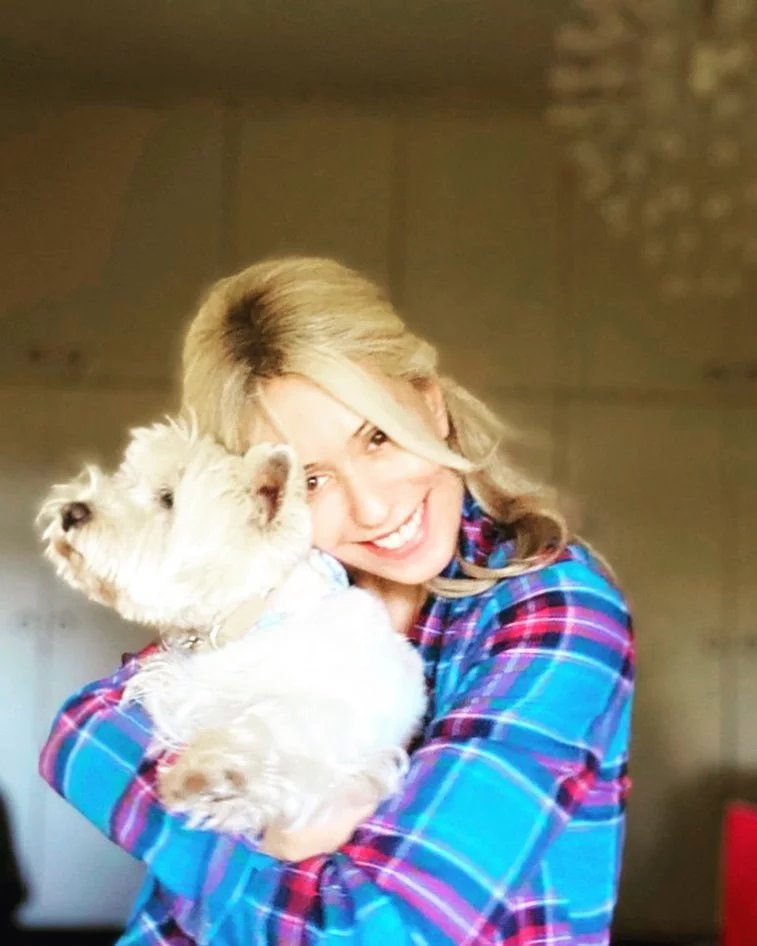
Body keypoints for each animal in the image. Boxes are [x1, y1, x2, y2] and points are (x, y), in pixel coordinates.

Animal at [37, 417, 427, 836]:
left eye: (167, 498)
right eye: (126, 478)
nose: (71, 512)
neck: (252, 618)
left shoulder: (335, 733)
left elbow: (268, 735)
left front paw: (206, 777)